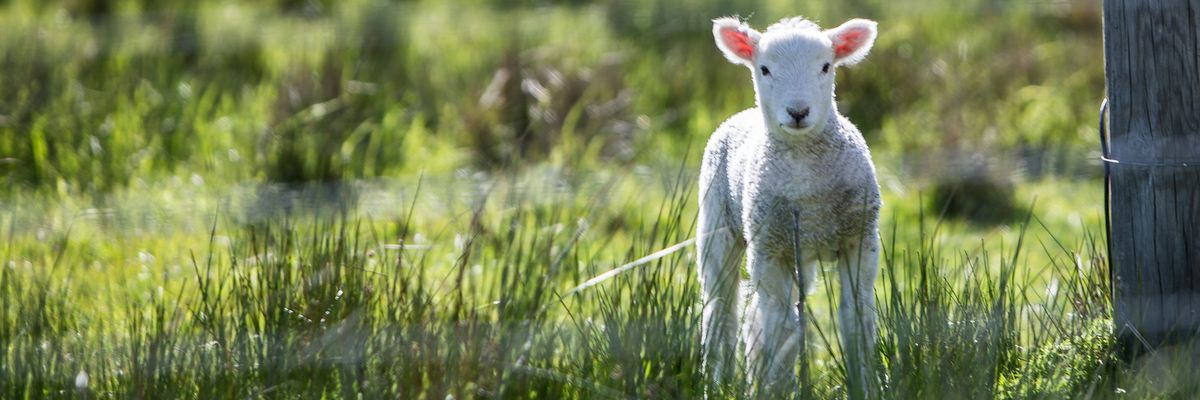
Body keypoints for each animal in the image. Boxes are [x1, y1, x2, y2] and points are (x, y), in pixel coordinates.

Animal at [697, 16, 882, 396]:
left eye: (826, 66)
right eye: (765, 69)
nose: (798, 112)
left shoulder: (860, 239)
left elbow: (856, 317)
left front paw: (864, 385)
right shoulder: (769, 250)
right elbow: (782, 328)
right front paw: (778, 387)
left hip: (800, 254)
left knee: (756, 313)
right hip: (718, 224)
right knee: (721, 309)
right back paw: (719, 382)